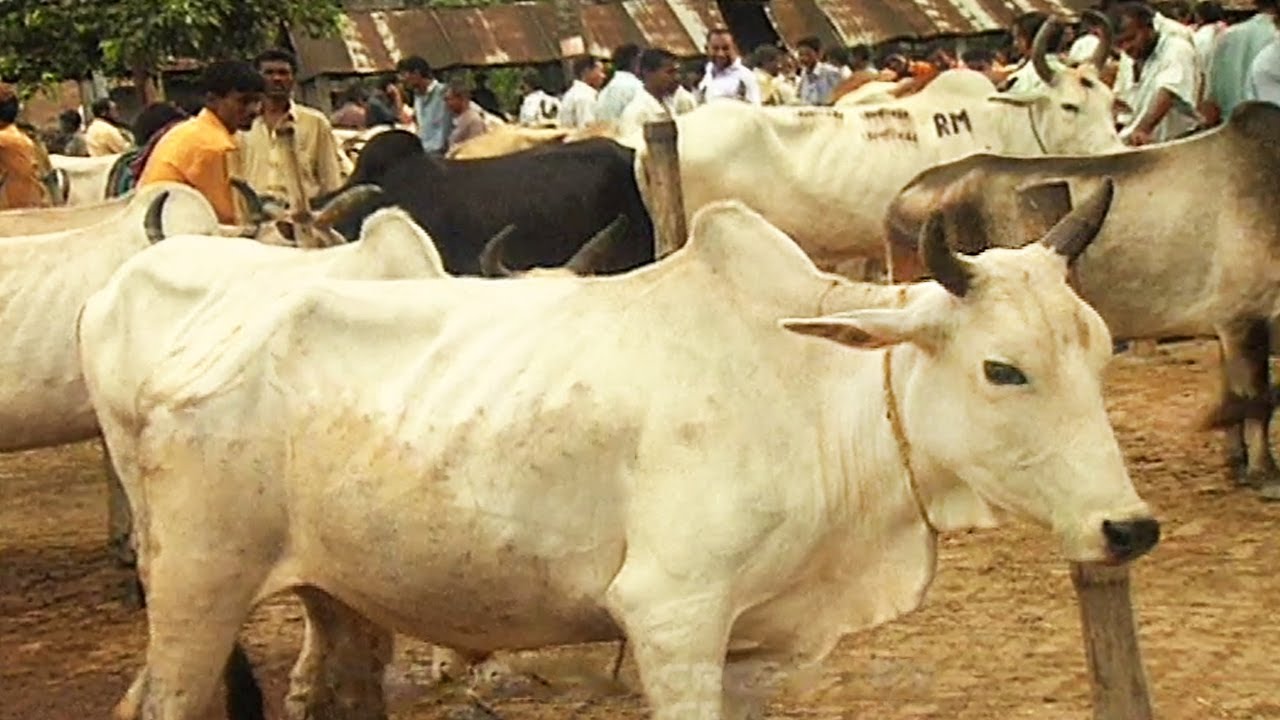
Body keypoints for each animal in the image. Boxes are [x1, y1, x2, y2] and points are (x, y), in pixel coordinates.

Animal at [91, 181, 1159, 720]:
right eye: (1002, 369)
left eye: (1103, 351)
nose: (1130, 528)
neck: (818, 392)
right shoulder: (672, 618)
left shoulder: (744, 639)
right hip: (196, 588)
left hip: (338, 595)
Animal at [883, 101, 1280, 498]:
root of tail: (905, 194)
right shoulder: (1244, 319)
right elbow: (1257, 398)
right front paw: (1266, 474)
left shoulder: (1228, 325)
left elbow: (1235, 396)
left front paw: (1238, 464)